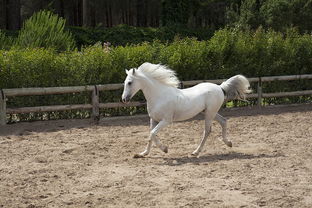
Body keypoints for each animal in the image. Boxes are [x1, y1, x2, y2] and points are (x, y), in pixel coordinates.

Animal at [122, 62, 251, 157]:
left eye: (130, 82)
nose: (124, 99)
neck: (159, 95)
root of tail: (220, 87)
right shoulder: (153, 119)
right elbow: (151, 135)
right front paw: (143, 153)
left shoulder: (166, 121)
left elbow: (152, 133)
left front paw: (165, 149)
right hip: (209, 112)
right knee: (223, 121)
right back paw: (228, 143)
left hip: (210, 113)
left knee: (207, 131)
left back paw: (196, 152)